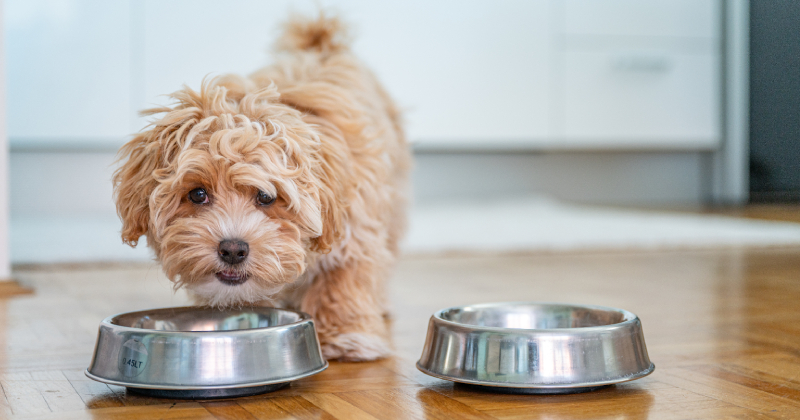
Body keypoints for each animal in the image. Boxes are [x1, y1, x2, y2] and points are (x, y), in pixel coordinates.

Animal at [111, 13, 410, 360]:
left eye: (266, 197)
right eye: (197, 194)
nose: (233, 250)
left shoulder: (355, 230)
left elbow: (342, 278)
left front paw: (344, 335)